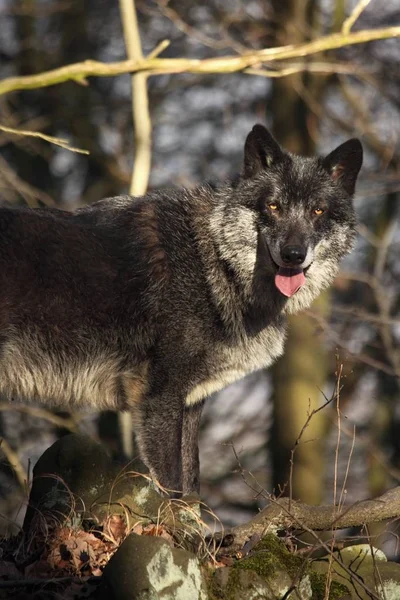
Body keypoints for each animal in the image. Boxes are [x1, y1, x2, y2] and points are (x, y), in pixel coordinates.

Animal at [0, 124, 362, 494]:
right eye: (273, 206)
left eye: (318, 211)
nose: (293, 255)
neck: (213, 259)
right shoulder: (161, 397)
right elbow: (172, 482)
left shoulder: (190, 403)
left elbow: (191, 485)